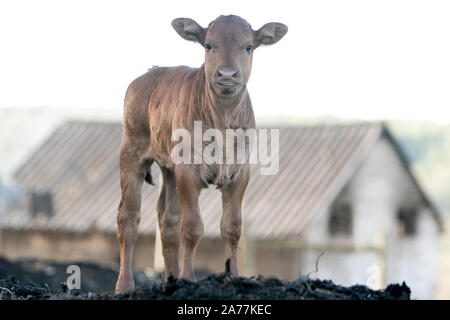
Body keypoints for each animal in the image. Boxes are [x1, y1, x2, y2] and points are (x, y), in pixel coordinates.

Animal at [114, 16, 286, 294]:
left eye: (248, 46)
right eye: (208, 45)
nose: (227, 74)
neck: (223, 124)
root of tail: (151, 72)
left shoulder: (240, 172)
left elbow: (232, 227)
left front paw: (234, 277)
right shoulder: (188, 171)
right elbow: (193, 226)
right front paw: (188, 277)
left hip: (169, 167)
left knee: (167, 219)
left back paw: (170, 279)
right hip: (131, 149)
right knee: (128, 217)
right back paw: (125, 285)